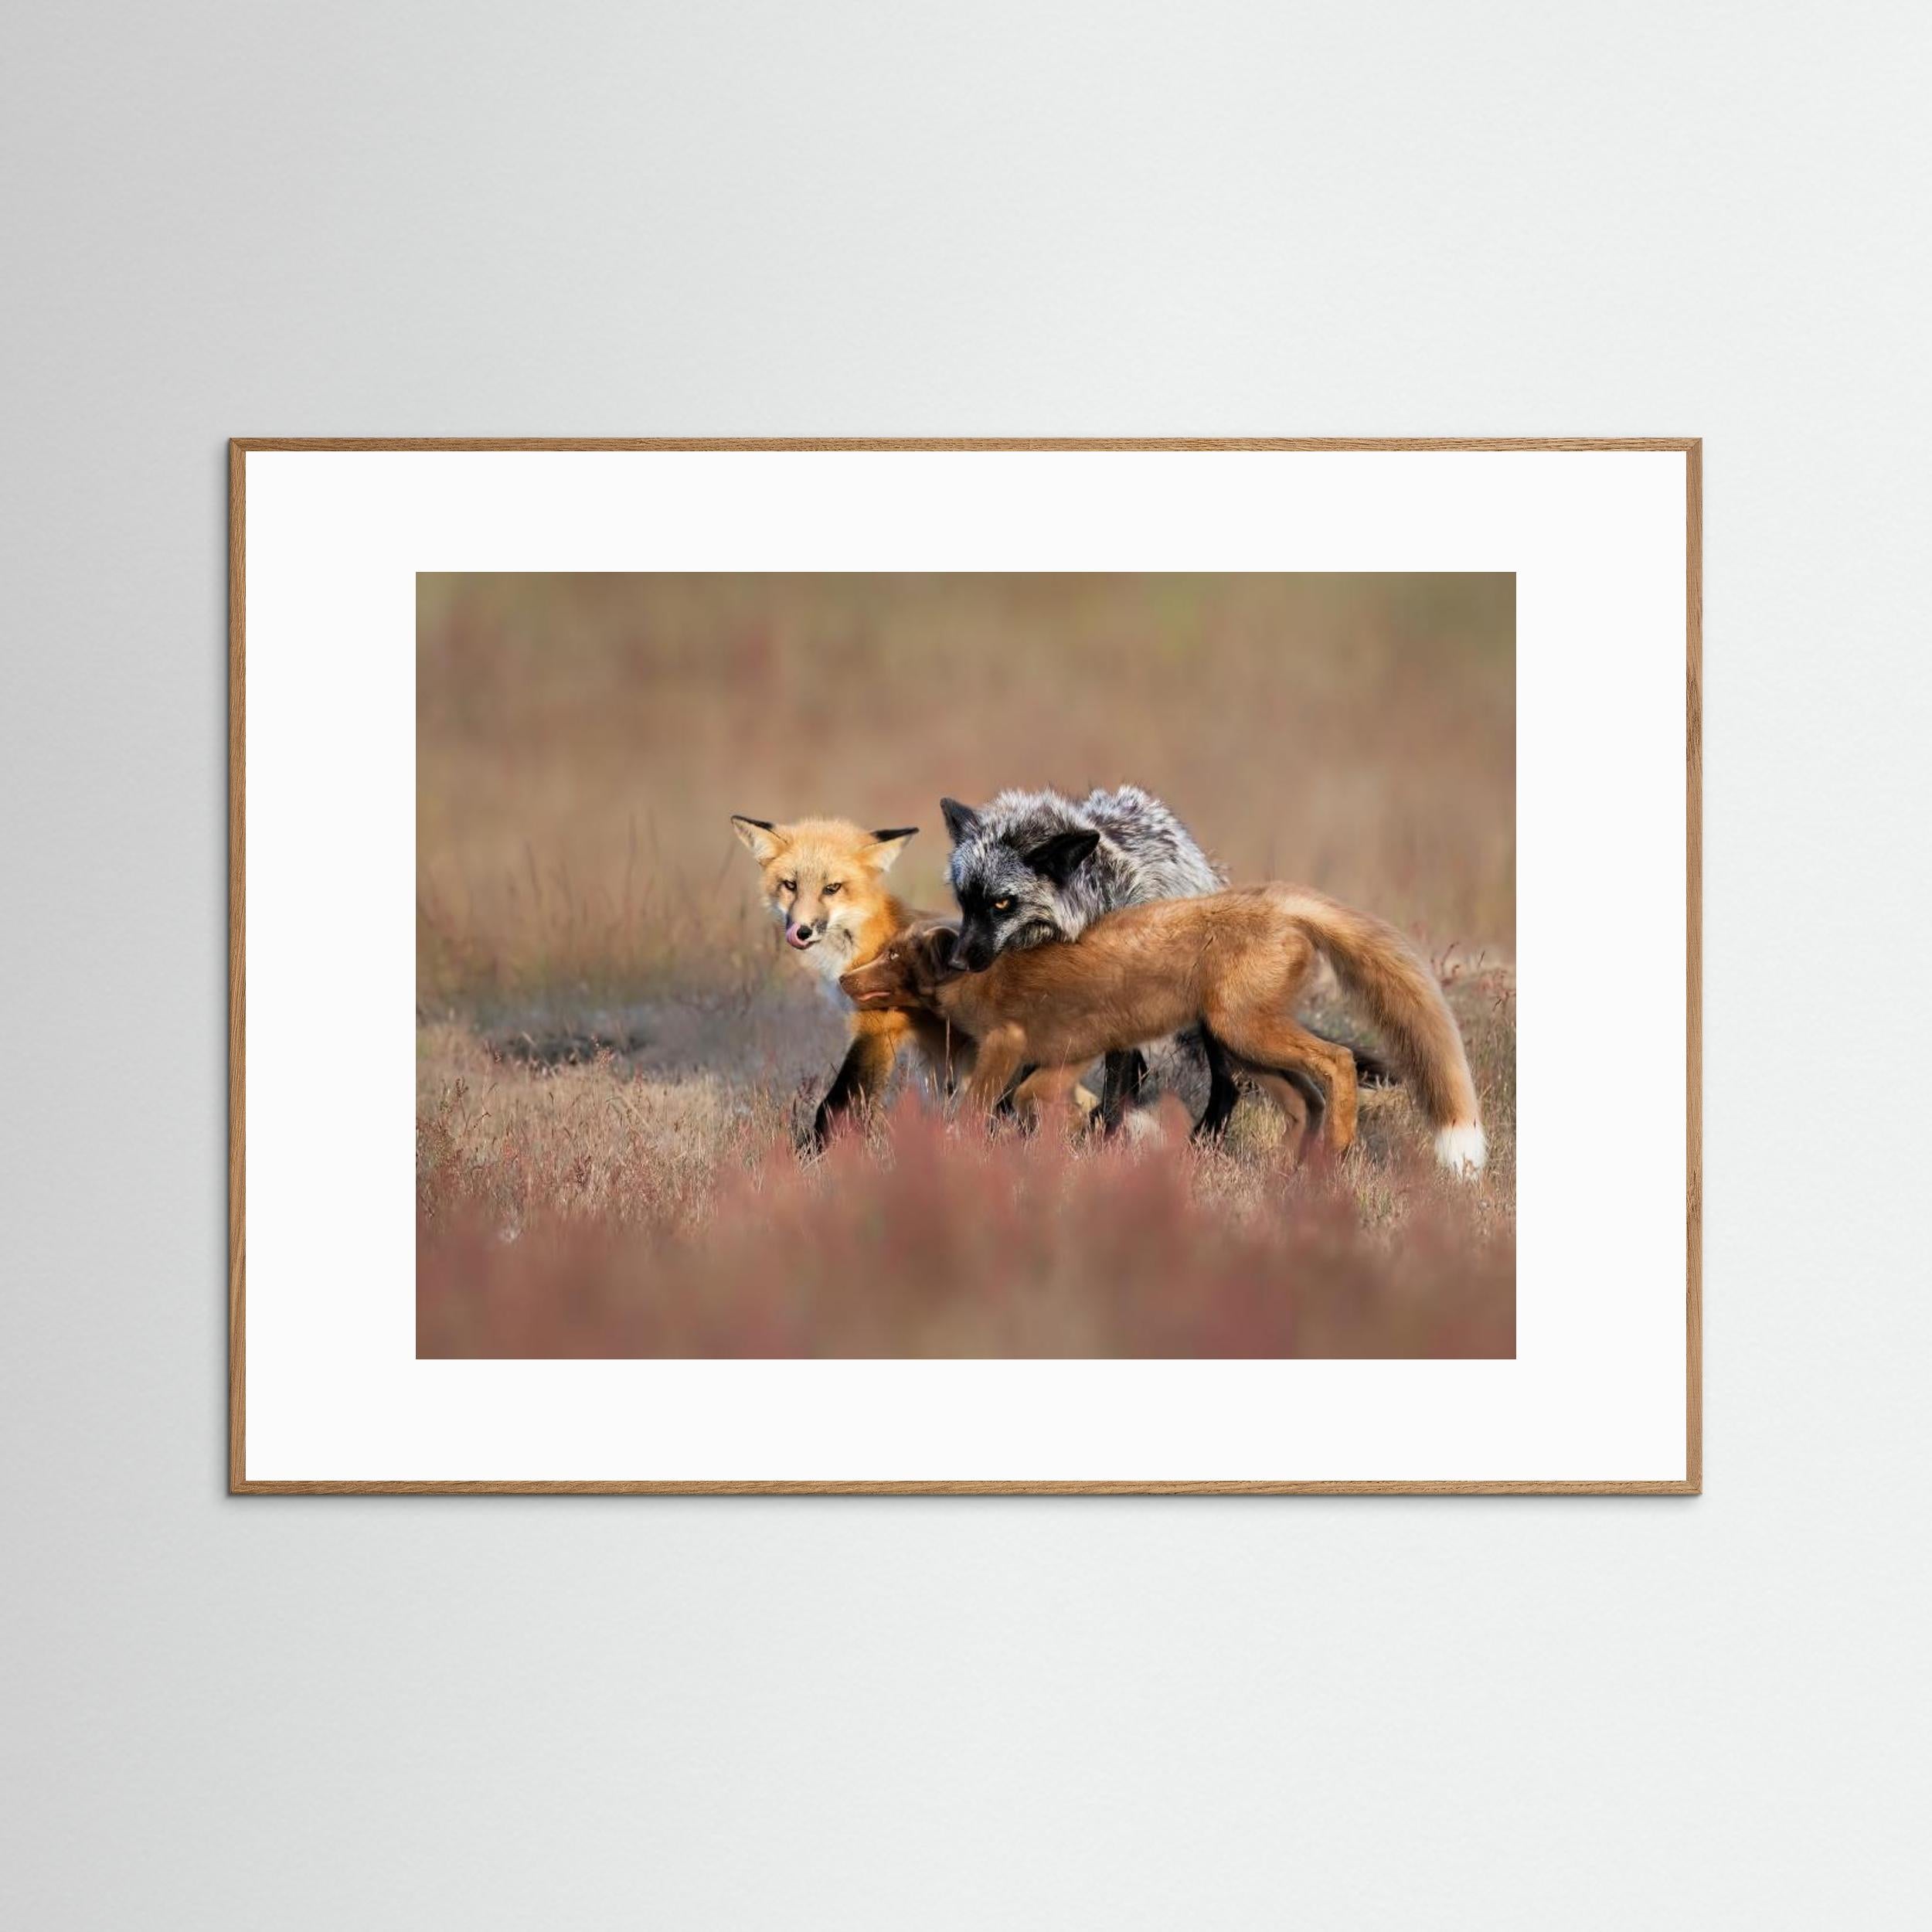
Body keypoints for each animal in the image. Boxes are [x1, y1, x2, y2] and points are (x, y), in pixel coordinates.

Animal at [839, 883, 1488, 1176]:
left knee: (1338, 1062)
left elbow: (980, 1105)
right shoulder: (1070, 1053)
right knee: (1305, 1099)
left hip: (1246, 1032)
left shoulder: (1010, 1043)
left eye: (893, 957)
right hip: (1242, 1047)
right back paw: (1289, 1171)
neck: (980, 978)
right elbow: (1036, 1100)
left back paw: (1338, 1148)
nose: (845, 979)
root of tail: (1278, 899)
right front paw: (1072, 1138)